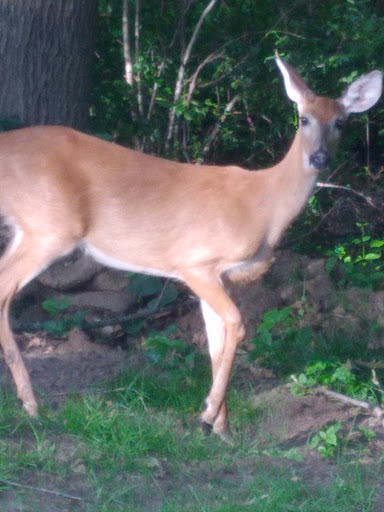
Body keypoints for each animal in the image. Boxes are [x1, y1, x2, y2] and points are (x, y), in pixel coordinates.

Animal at [0, 55, 380, 440]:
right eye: (304, 119)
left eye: (341, 122)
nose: (319, 158)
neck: (264, 206)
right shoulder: (196, 262)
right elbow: (236, 325)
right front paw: (209, 413)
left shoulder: (219, 276)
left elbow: (215, 342)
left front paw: (222, 429)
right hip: (49, 227)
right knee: (4, 289)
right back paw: (31, 404)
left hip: (31, 228)